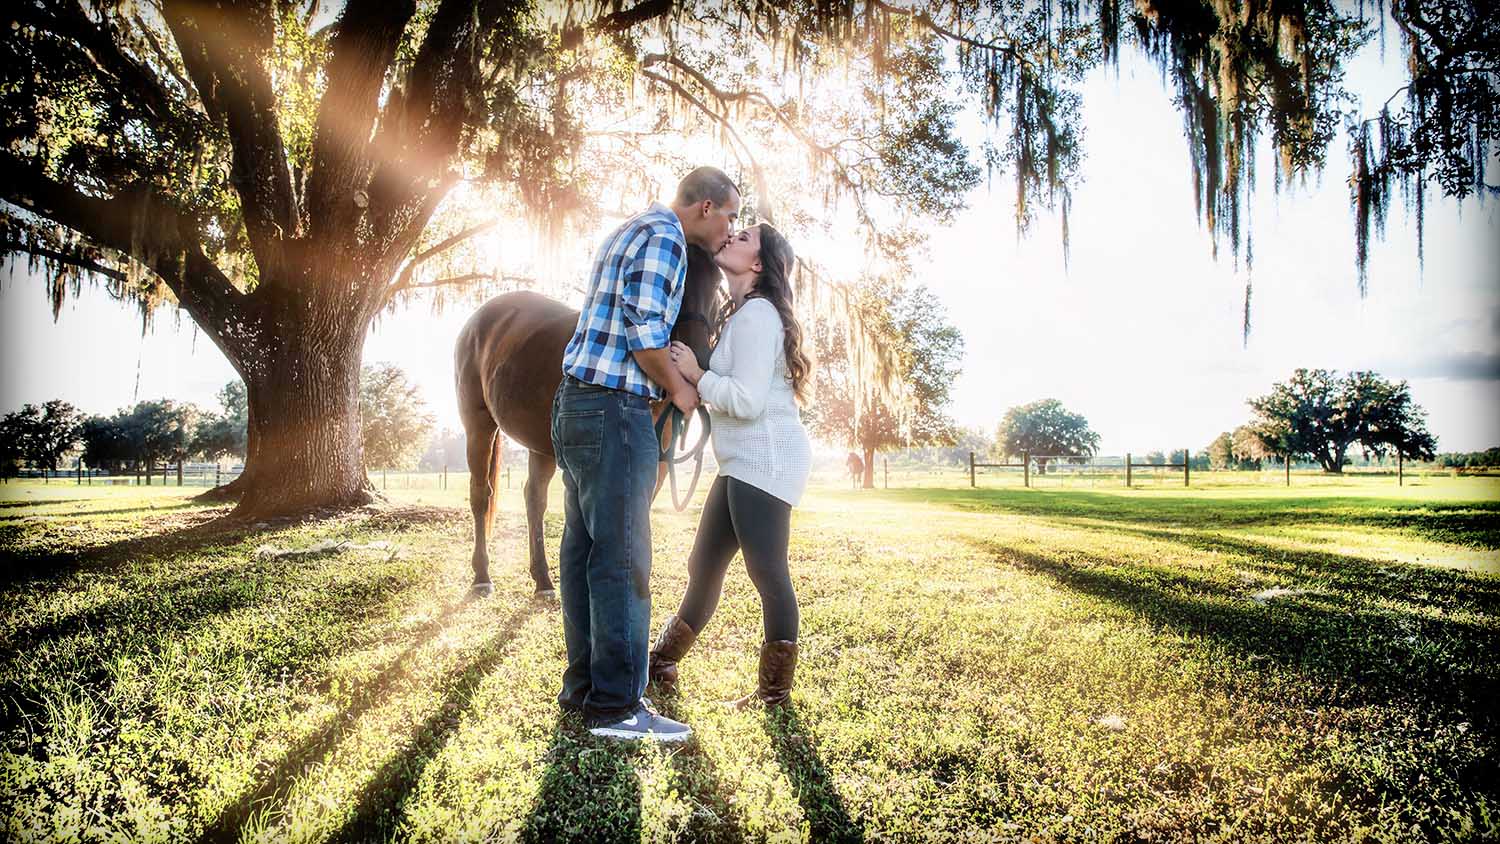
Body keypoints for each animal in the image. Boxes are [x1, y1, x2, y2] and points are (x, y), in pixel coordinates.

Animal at [453, 244, 723, 596]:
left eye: (718, 282)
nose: (696, 357)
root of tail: (478, 321)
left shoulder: (658, 462)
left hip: (539, 445)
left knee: (534, 499)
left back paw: (543, 580)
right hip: (478, 426)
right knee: (480, 495)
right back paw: (482, 576)